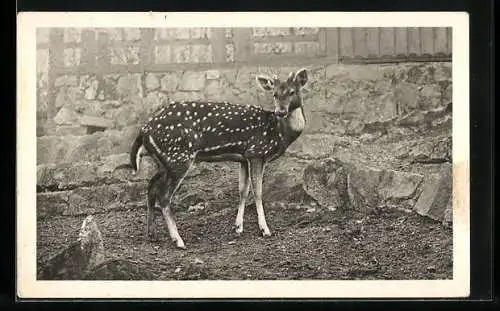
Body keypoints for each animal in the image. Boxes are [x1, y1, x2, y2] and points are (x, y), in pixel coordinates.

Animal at [121, 67, 308, 249]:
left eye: (292, 91)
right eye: (275, 94)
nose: (280, 111)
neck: (278, 133)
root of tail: (144, 130)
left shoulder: (244, 157)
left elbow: (243, 190)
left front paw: (238, 227)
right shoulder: (257, 152)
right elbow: (258, 192)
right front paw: (265, 230)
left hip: (163, 161)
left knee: (151, 186)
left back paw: (152, 234)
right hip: (178, 157)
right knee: (164, 196)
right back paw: (178, 240)